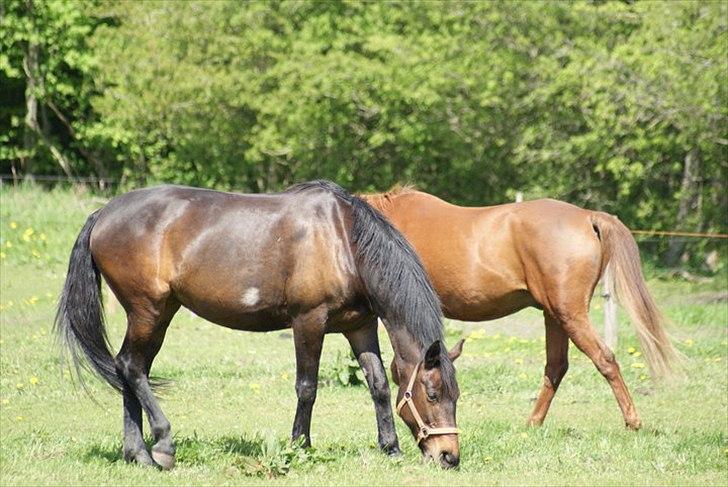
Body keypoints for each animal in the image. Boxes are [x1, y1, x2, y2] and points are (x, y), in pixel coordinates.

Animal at [58, 181, 466, 470]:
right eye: (432, 394)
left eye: (456, 395)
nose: (449, 456)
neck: (344, 240)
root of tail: (103, 213)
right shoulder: (308, 320)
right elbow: (307, 387)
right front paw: (300, 446)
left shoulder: (360, 326)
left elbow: (378, 385)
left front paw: (390, 448)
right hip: (148, 310)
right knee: (131, 367)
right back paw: (162, 445)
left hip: (159, 312)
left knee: (130, 368)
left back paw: (138, 454)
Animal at [362, 187, 680, 430]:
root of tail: (587, 216)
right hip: (554, 316)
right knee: (556, 367)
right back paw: (533, 423)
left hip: (570, 315)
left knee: (605, 359)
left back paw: (632, 422)